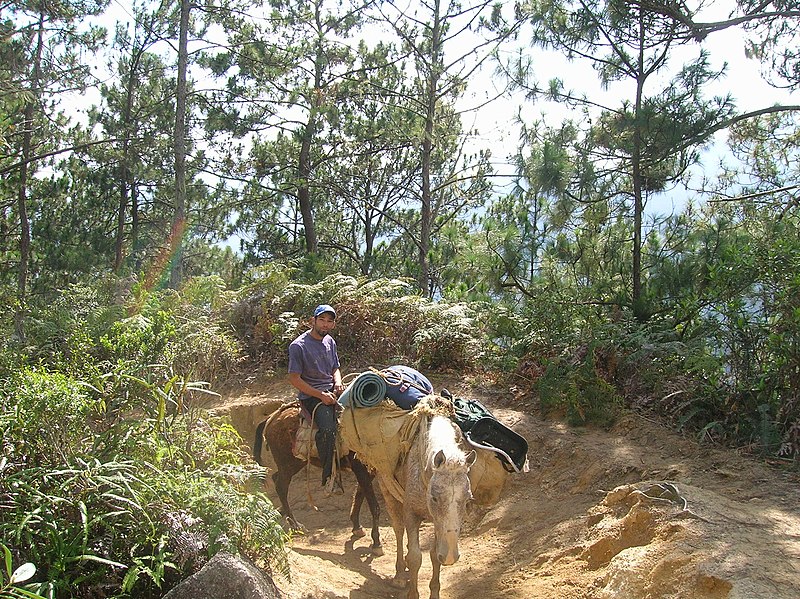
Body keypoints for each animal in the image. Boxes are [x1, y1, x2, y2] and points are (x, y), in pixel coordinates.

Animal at [253, 404, 384, 556]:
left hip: (294, 463)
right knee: (281, 486)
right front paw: (377, 543)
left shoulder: (369, 470)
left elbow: (359, 495)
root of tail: (271, 418)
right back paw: (296, 525)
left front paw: (357, 527)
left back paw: (282, 513)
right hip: (288, 463)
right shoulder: (361, 468)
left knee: (276, 478)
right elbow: (374, 506)